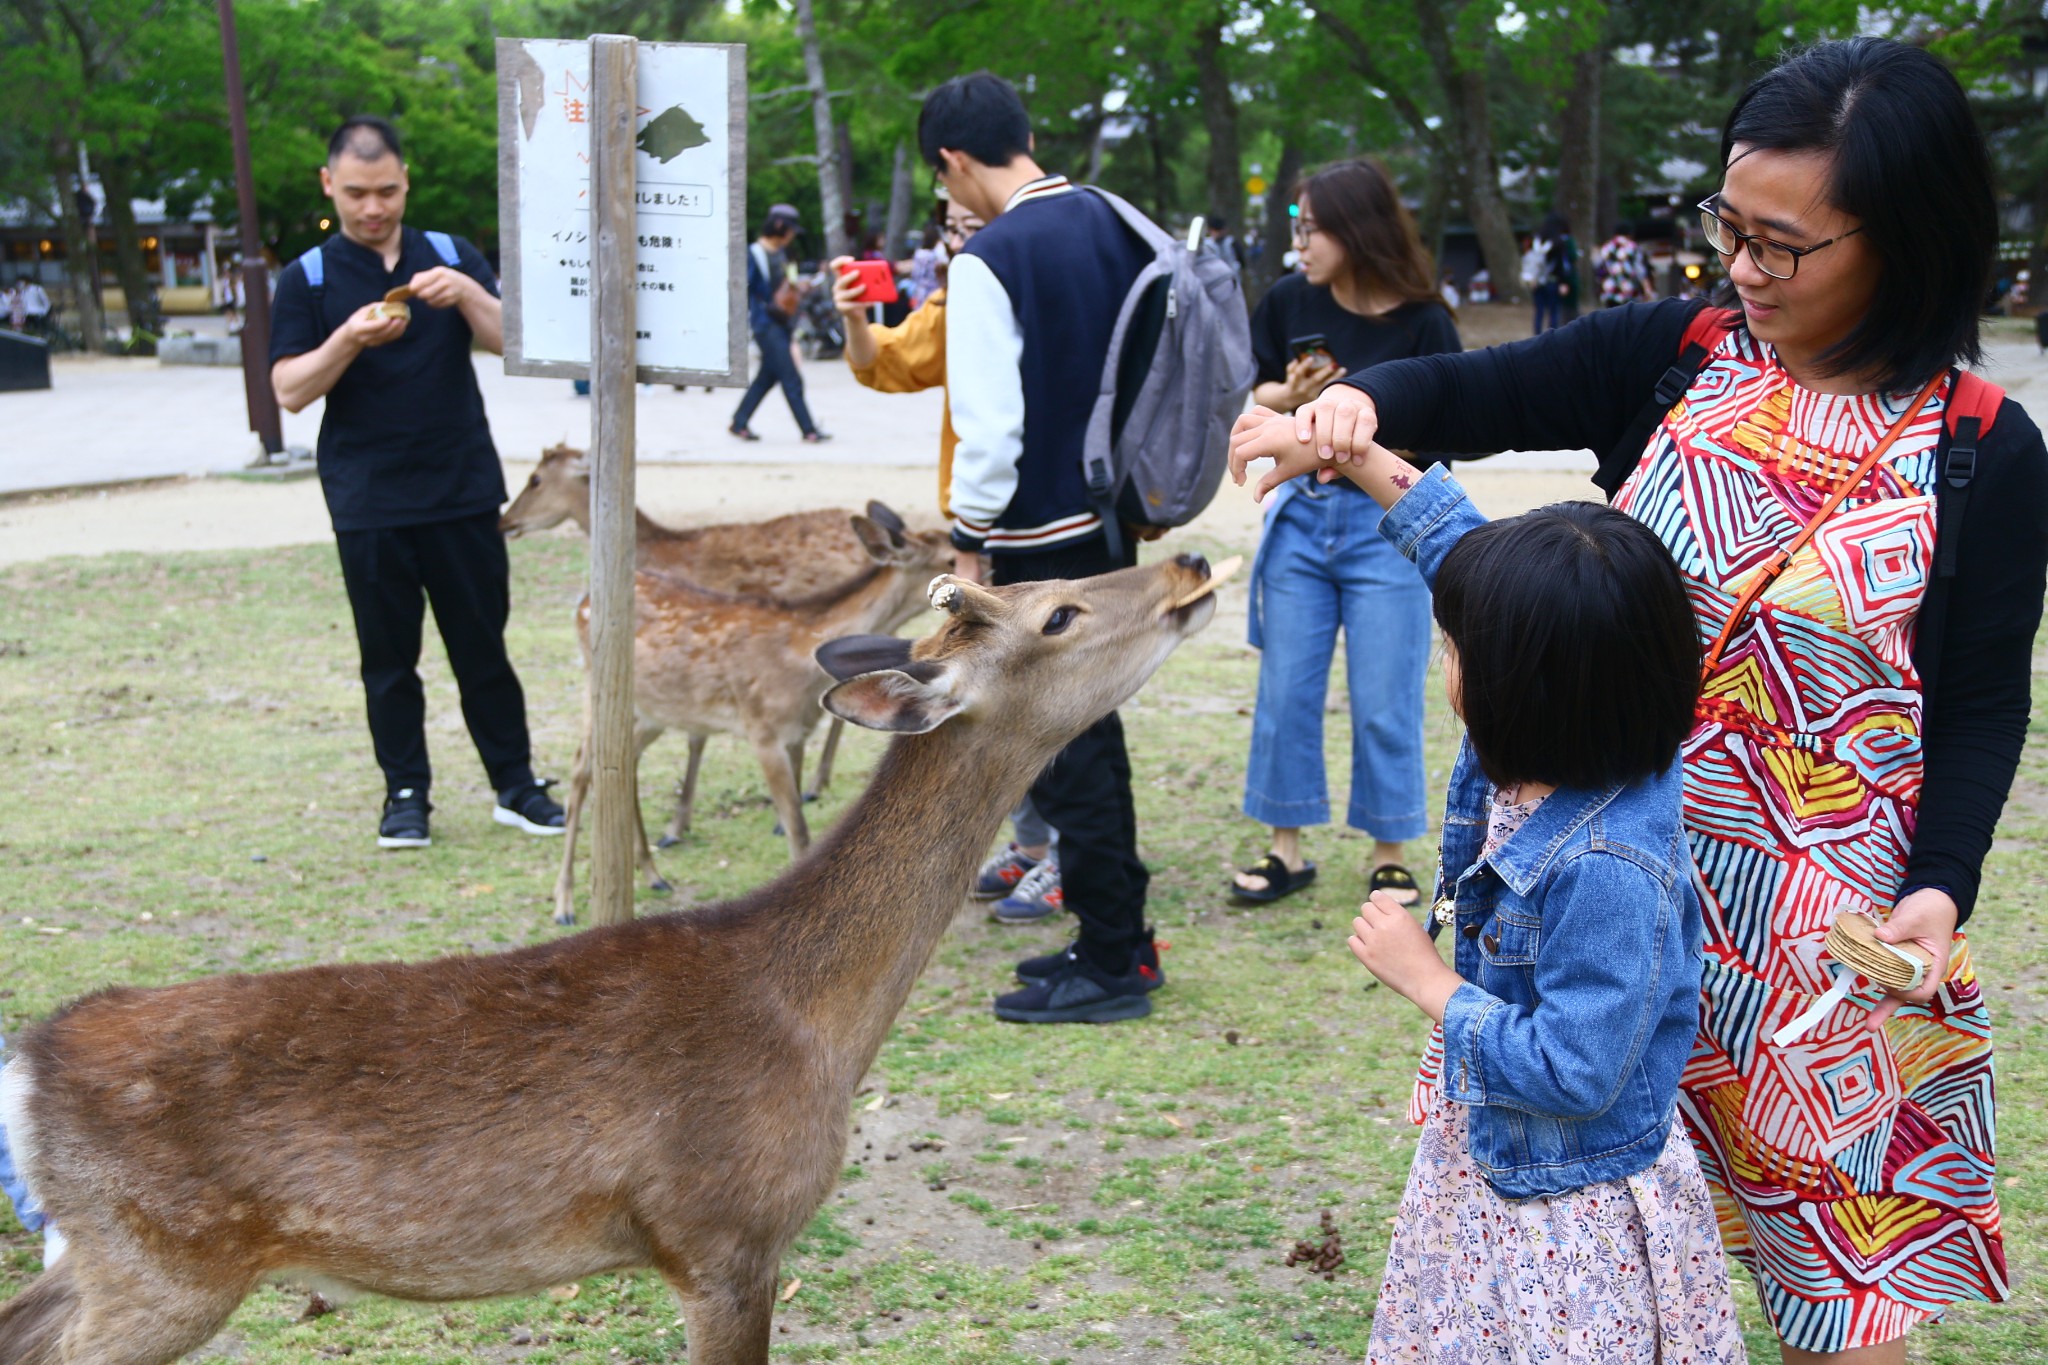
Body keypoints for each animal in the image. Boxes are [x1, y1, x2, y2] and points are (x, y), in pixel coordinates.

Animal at [552, 511, 950, 929]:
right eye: (950, 558)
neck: (802, 663)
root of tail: (582, 602)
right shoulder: (763, 730)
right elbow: (797, 829)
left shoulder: (797, 733)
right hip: (596, 687)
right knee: (581, 769)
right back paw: (565, 904)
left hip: (652, 710)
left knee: (622, 764)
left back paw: (652, 874)